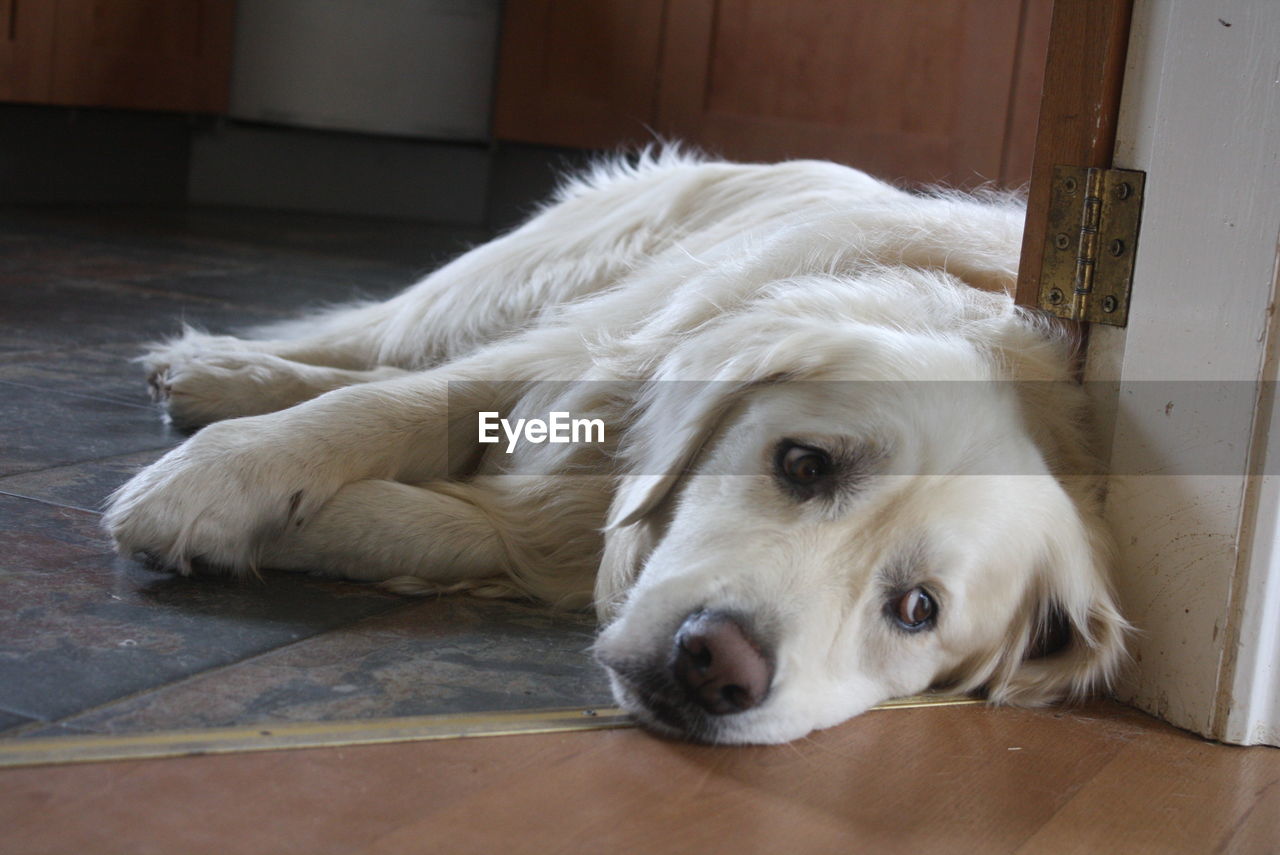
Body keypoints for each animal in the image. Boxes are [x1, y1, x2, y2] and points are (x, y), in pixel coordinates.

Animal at [104, 151, 1126, 742]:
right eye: (803, 464)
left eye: (918, 609)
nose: (716, 663)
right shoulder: (576, 361)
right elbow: (389, 407)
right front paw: (217, 483)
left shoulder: (549, 524)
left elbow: (432, 524)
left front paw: (299, 522)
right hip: (512, 284)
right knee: (367, 346)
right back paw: (214, 371)